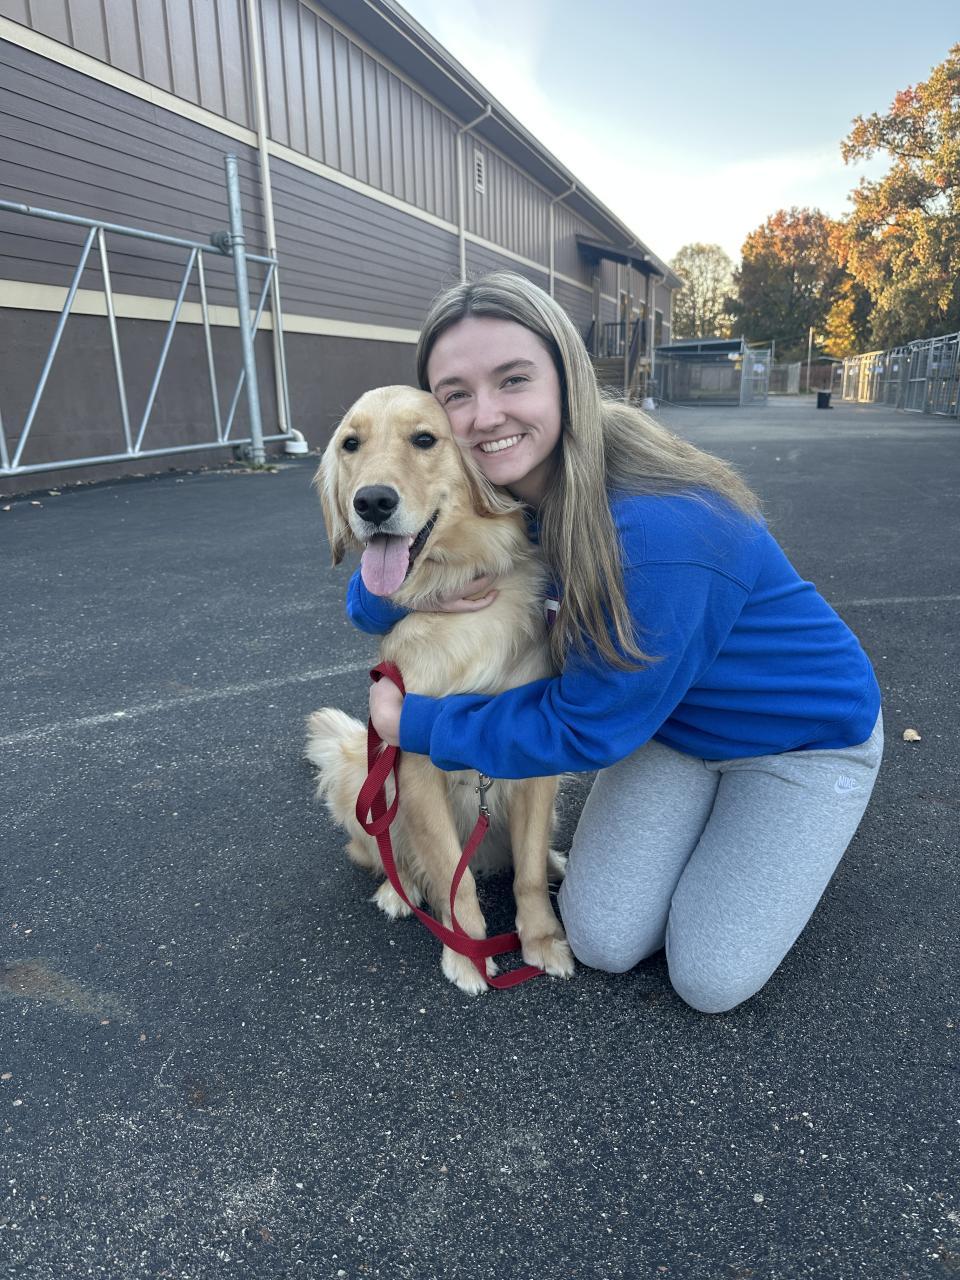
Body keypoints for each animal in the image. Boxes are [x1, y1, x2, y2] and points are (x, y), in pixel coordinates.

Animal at [305, 385, 574, 994]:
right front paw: (468, 953)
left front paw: (543, 940)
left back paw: (556, 861)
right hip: (362, 776)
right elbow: (455, 877)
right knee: (392, 855)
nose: (372, 502)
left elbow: (524, 873)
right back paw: (397, 891)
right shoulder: (413, 765)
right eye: (351, 444)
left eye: (425, 438)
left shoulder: (537, 762)